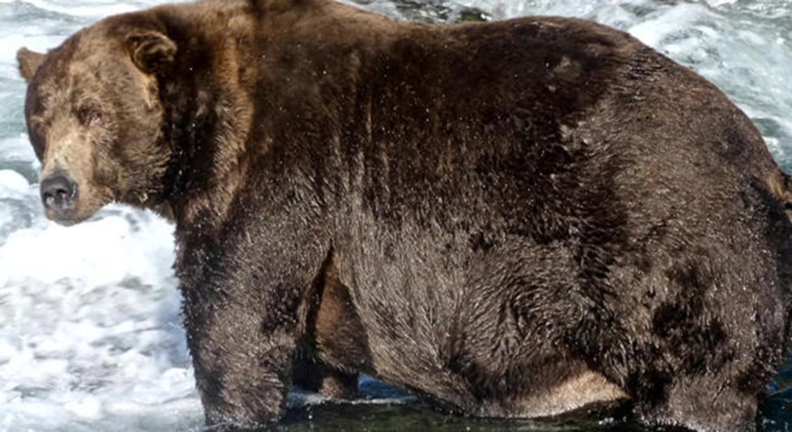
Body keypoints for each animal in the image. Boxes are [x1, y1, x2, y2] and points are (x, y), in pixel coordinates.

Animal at [15, 0, 792, 430]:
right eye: (40, 116)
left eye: (93, 109)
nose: (56, 189)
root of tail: (762, 158)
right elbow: (304, 348)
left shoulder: (281, 170)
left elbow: (234, 318)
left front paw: (231, 405)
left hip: (664, 241)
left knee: (700, 374)